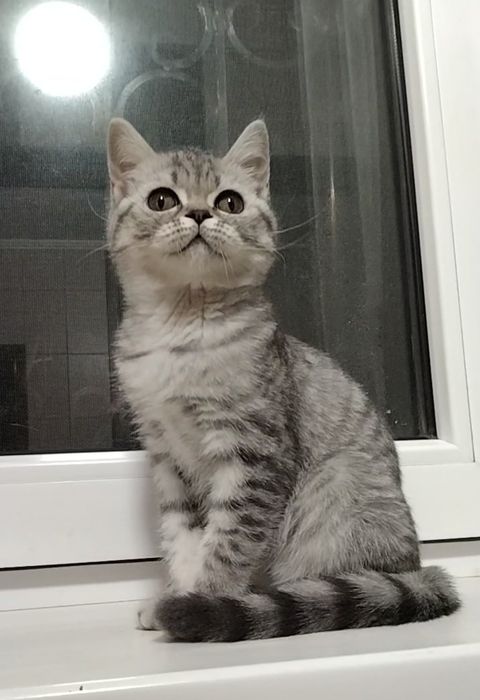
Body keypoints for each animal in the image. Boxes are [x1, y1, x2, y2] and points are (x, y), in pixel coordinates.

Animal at [106, 117, 460, 642]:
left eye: (230, 202)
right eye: (162, 199)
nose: (198, 213)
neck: (182, 330)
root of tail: (412, 571)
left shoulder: (255, 455)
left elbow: (228, 542)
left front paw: (203, 602)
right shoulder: (168, 456)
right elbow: (184, 537)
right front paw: (176, 594)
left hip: (332, 491)